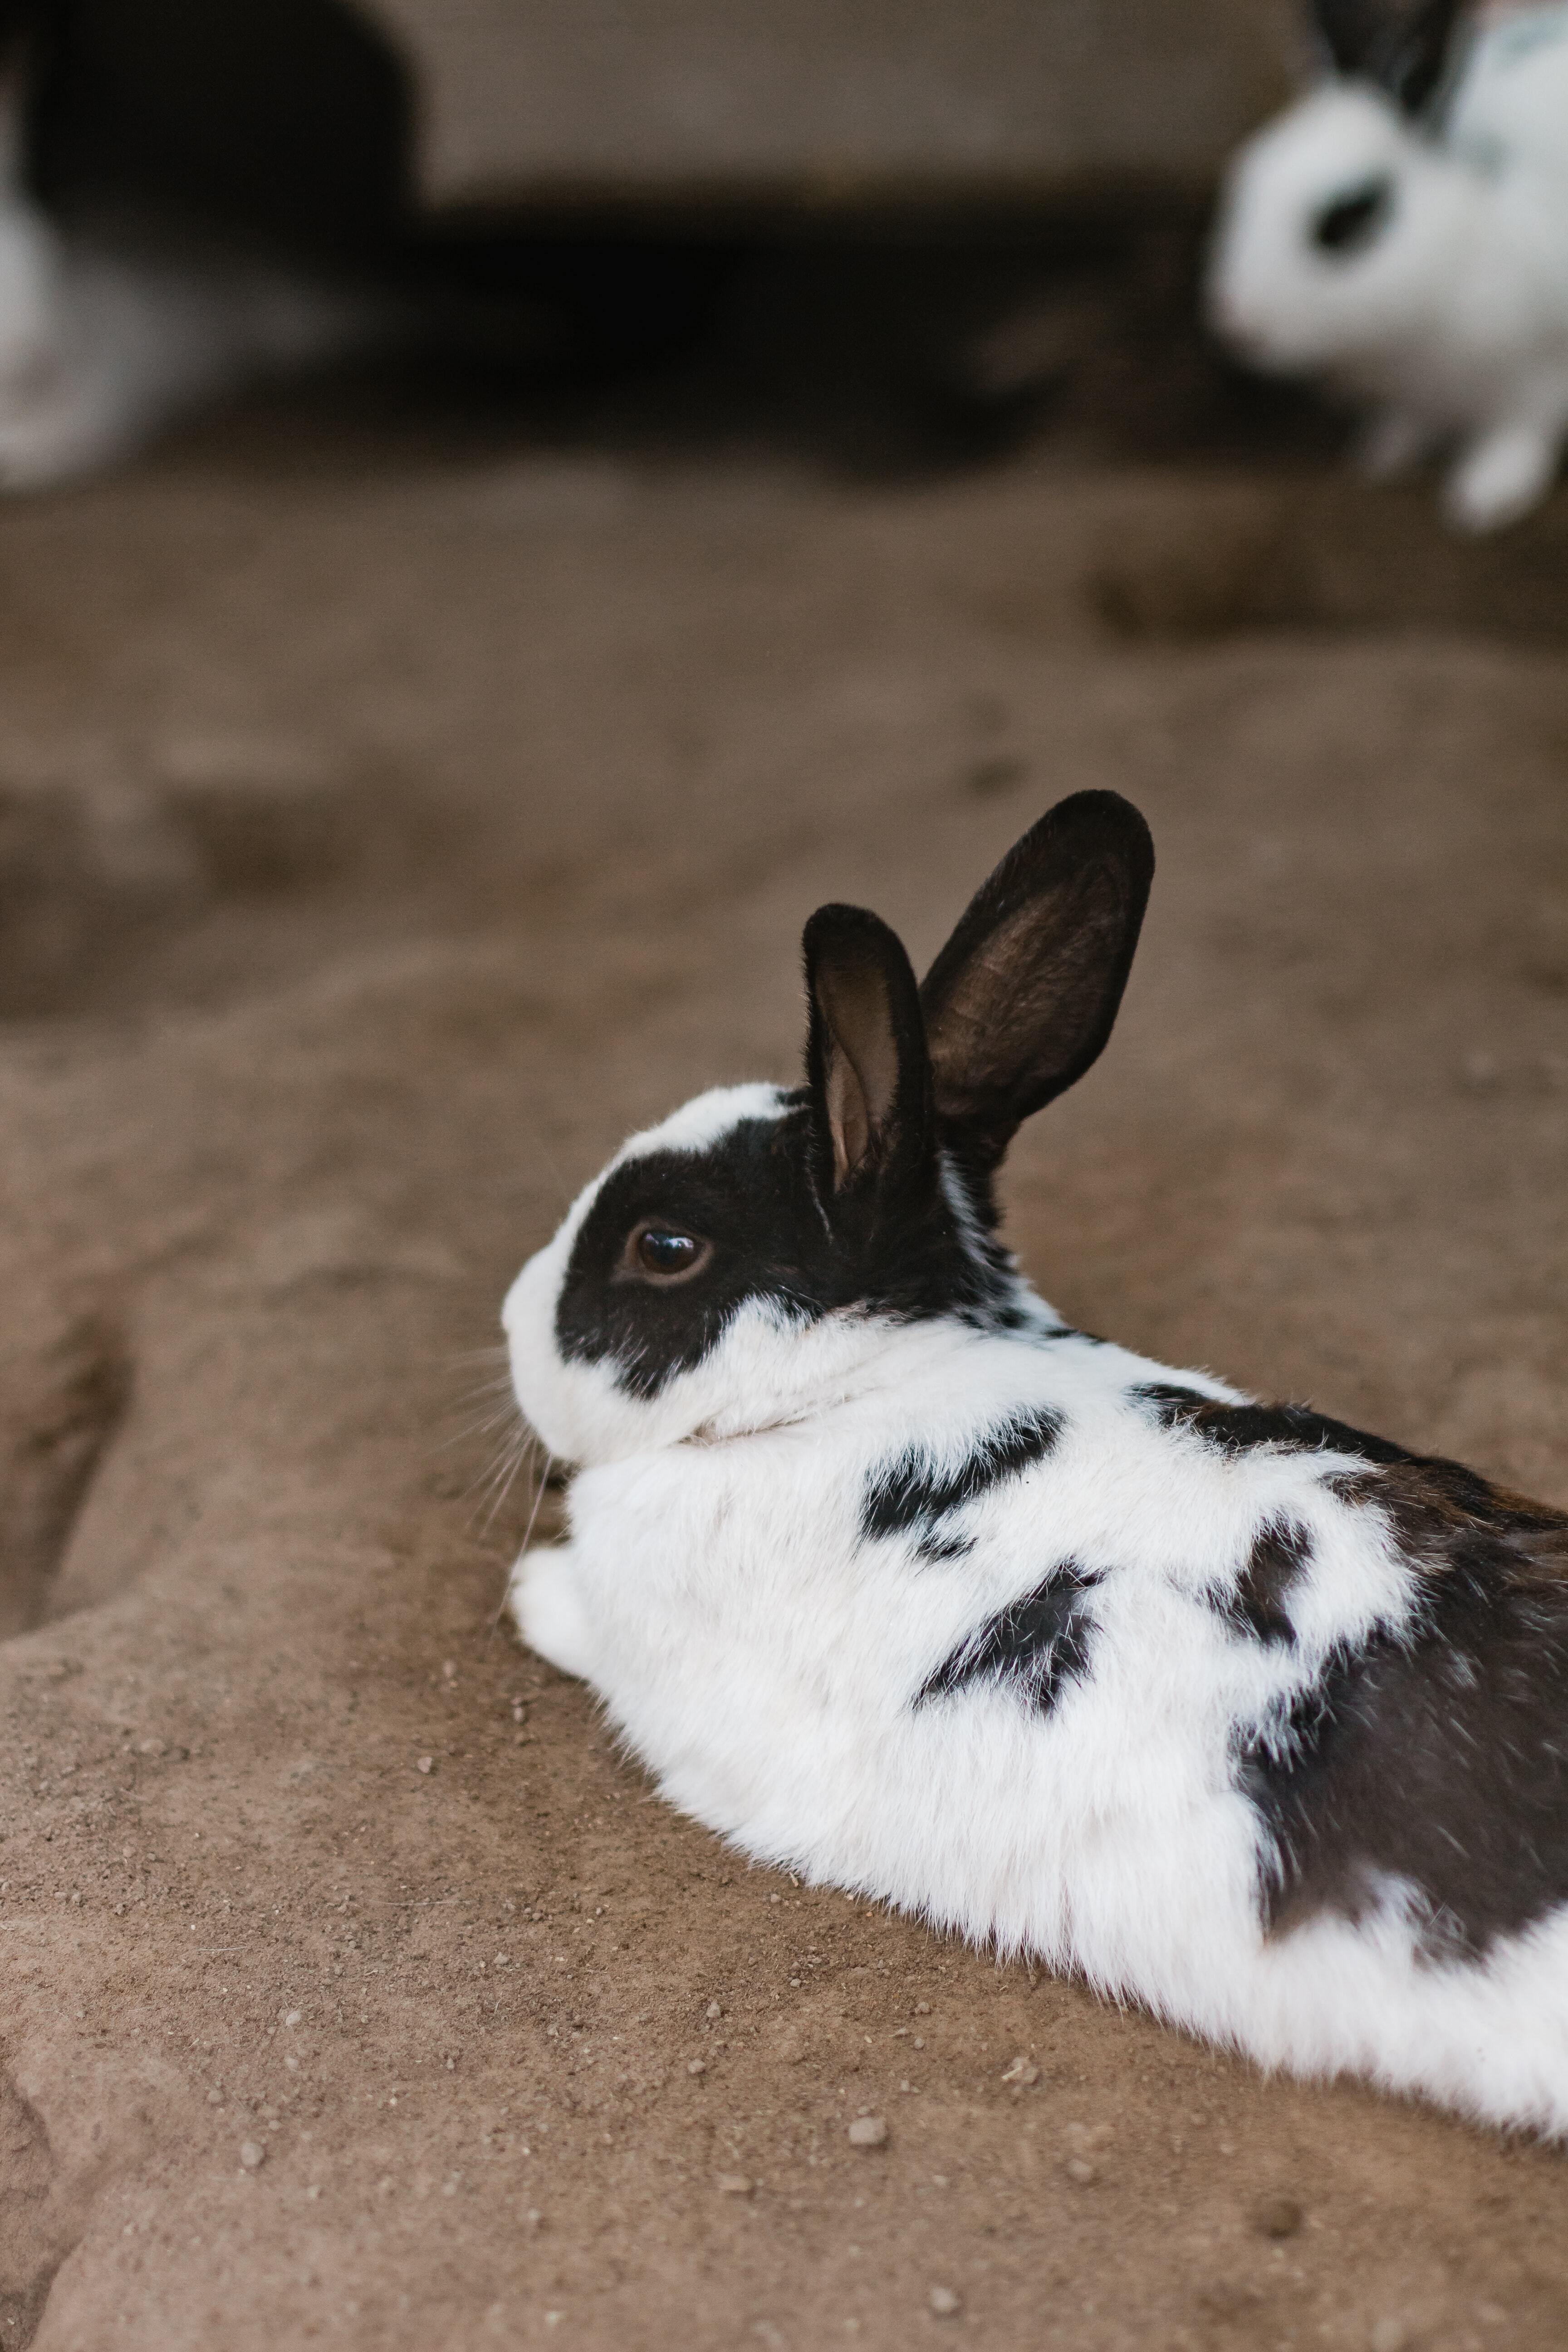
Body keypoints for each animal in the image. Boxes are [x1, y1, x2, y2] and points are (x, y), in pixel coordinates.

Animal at [1213, 0, 1568, 531]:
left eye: (1348, 217)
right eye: (1248, 178)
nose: (1235, 321)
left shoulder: (1536, 378)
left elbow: (1517, 435)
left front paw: (1482, 499)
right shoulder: (1415, 395)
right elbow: (1408, 426)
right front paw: (1382, 456)